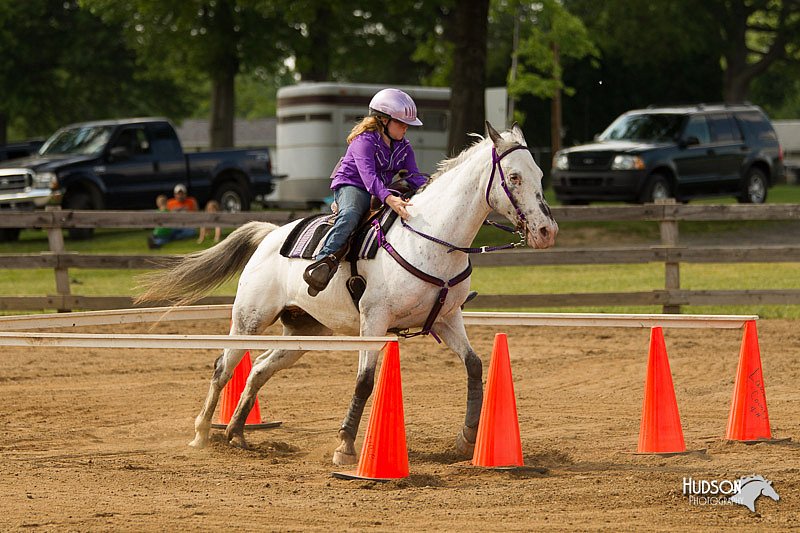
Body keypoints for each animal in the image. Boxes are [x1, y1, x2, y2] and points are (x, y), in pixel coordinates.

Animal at [136, 122, 556, 464]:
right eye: (514, 177)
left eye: (538, 173)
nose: (547, 230)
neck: (431, 237)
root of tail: (270, 234)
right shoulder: (374, 323)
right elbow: (365, 382)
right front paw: (345, 446)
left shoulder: (448, 319)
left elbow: (474, 365)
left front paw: (468, 436)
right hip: (248, 322)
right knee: (225, 366)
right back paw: (202, 434)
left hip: (303, 333)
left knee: (259, 367)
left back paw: (237, 433)